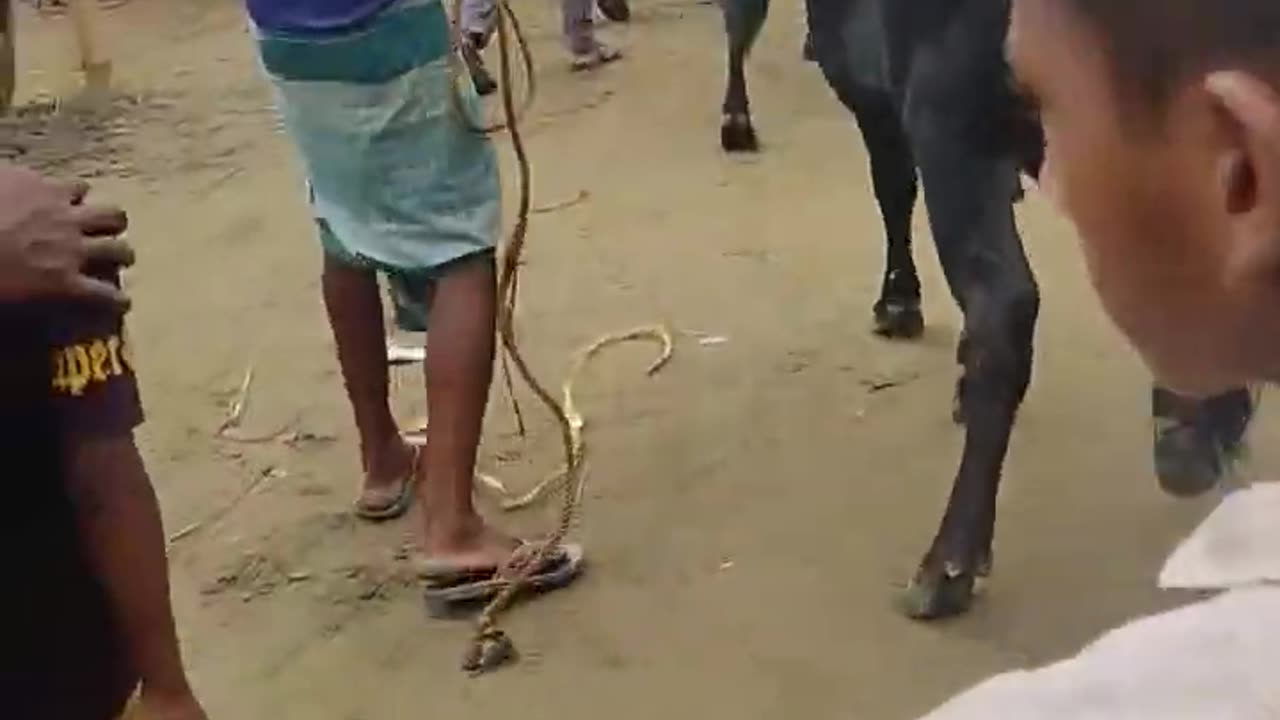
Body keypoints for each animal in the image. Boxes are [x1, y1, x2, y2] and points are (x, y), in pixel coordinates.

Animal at [721, 0, 1259, 617]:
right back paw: (1196, 429)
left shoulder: (880, 87)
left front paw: (898, 301)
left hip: (951, 111)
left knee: (1006, 309)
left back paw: (947, 564)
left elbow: (892, 184)